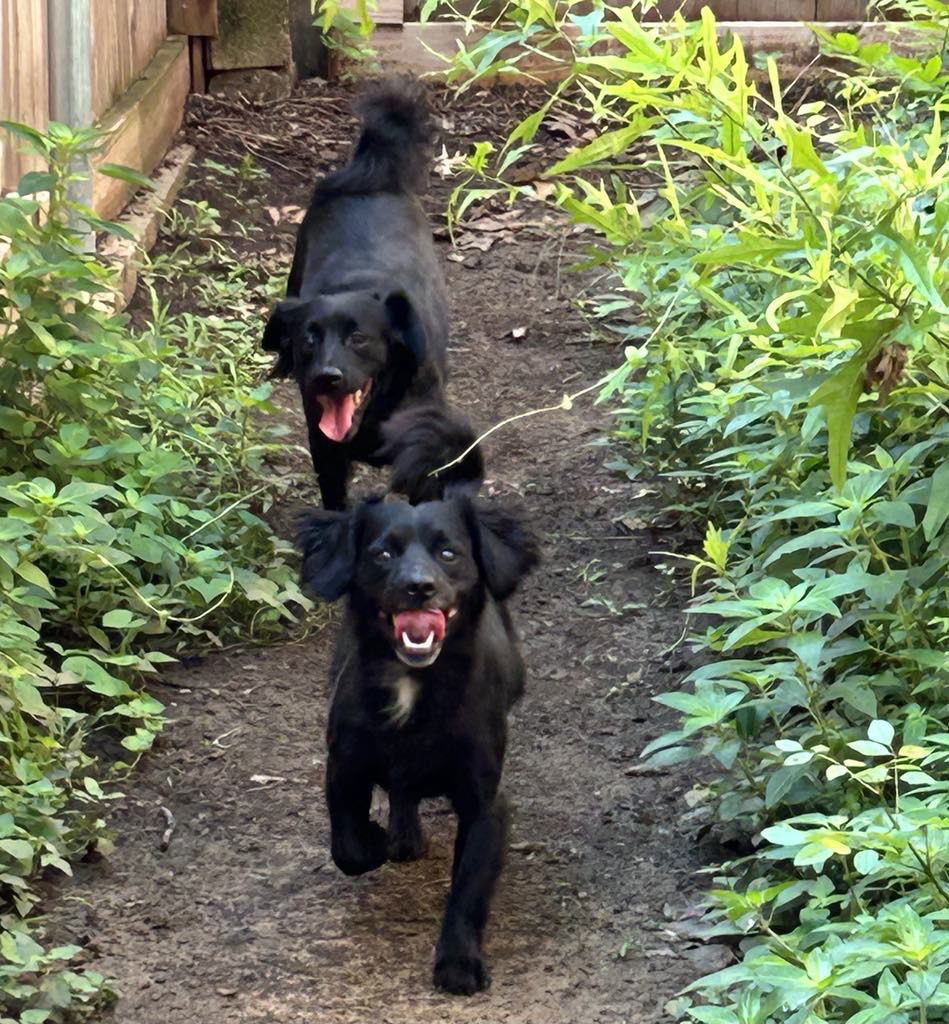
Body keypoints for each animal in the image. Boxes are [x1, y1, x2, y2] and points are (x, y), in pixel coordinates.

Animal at [264, 77, 470, 509]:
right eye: (309, 337)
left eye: (359, 337)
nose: (326, 377)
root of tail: (374, 175)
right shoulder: (325, 450)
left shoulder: (425, 454)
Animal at [303, 493, 540, 991]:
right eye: (381, 553)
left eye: (449, 553)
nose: (419, 587)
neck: (412, 685)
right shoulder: (342, 765)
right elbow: (348, 847)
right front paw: (375, 840)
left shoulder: (486, 803)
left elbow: (469, 887)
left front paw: (458, 964)